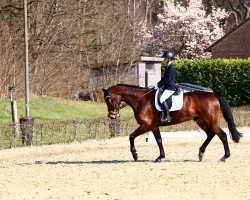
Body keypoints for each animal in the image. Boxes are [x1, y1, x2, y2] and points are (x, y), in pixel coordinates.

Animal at [101, 83, 242, 162]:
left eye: (109, 100)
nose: (112, 116)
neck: (141, 99)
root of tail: (213, 95)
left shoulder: (146, 125)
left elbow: (131, 136)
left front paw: (135, 155)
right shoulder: (154, 126)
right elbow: (159, 140)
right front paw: (160, 157)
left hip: (210, 121)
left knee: (222, 135)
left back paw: (224, 157)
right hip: (201, 121)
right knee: (211, 134)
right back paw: (201, 153)